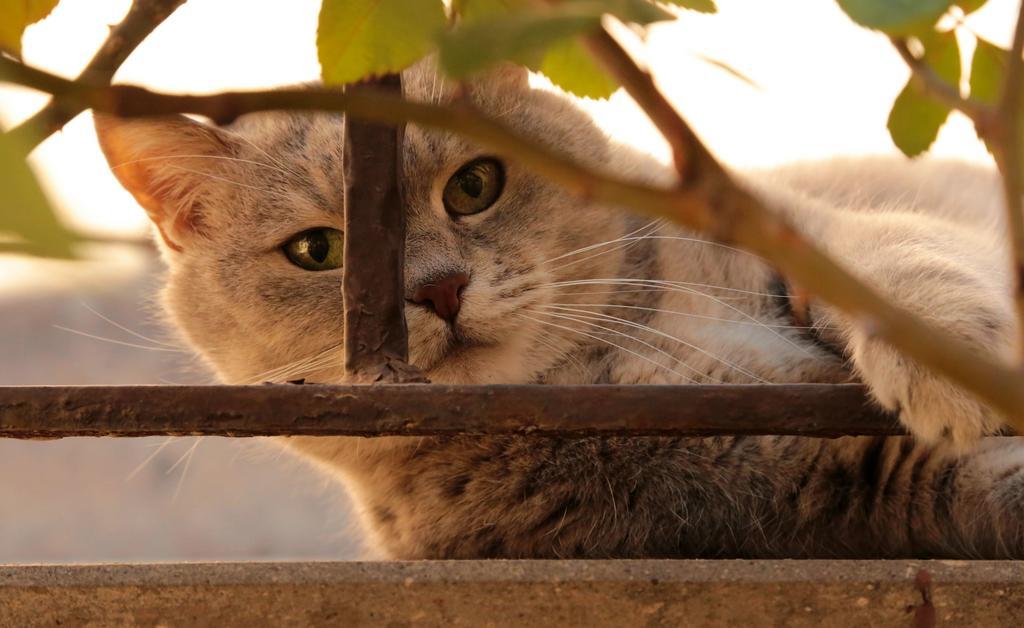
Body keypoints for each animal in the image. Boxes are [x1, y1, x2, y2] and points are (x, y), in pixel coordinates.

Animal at [92, 59, 1019, 557]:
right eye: (318, 252)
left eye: (475, 185)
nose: (438, 289)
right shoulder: (781, 484)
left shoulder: (794, 225)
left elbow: (891, 258)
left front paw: (955, 359)